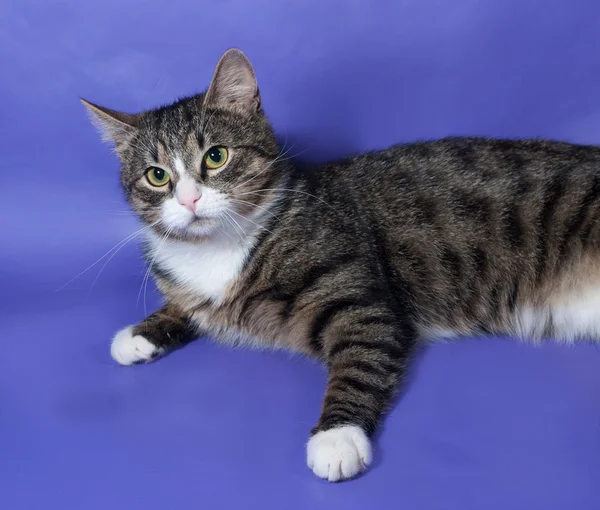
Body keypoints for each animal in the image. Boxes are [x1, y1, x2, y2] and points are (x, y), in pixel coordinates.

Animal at [82, 47, 600, 482]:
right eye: (157, 176)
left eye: (216, 156)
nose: (189, 199)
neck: (218, 250)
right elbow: (185, 305)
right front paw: (141, 333)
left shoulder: (360, 298)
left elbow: (360, 356)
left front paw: (337, 436)